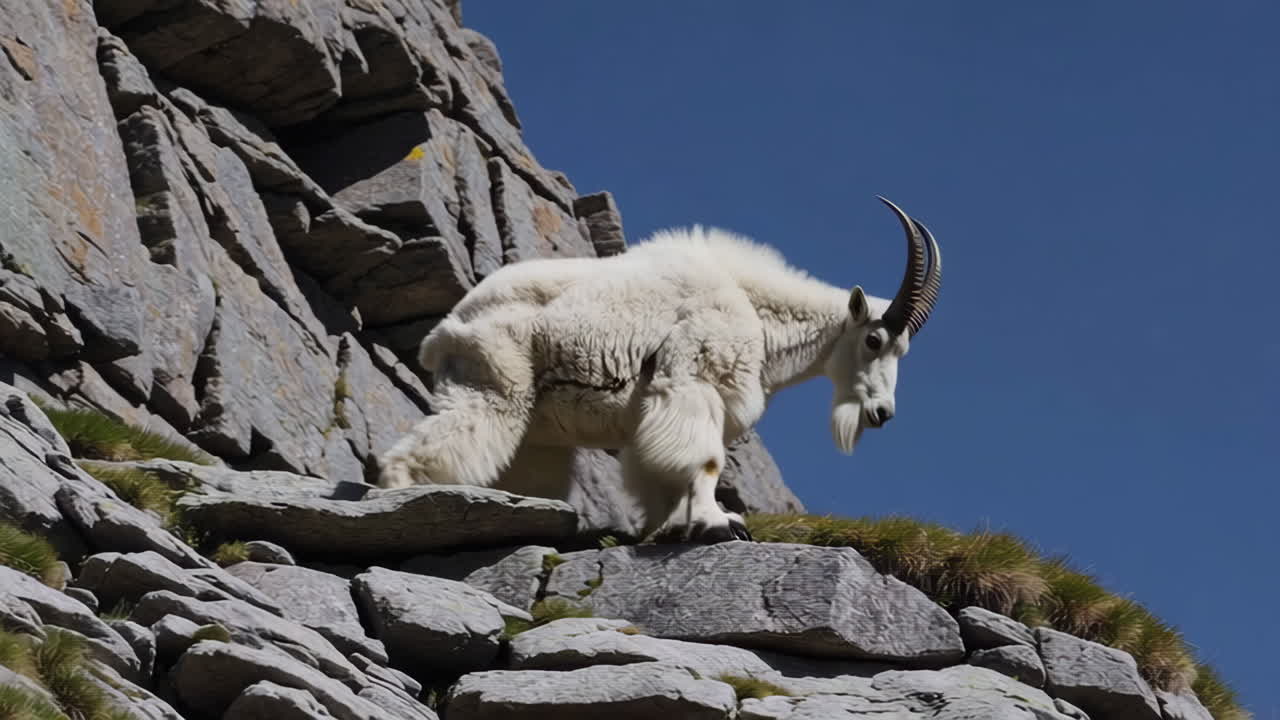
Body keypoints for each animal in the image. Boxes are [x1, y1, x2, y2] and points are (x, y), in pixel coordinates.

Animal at [377, 197, 943, 543]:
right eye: (874, 340)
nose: (882, 413)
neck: (753, 307)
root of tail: (444, 331)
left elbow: (659, 477)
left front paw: (670, 528)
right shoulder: (693, 381)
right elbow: (705, 463)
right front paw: (720, 523)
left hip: (539, 435)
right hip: (495, 382)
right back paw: (403, 497)